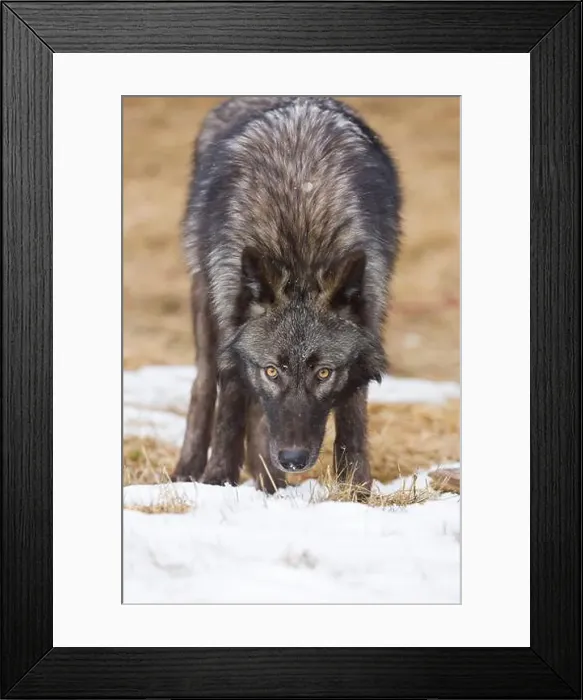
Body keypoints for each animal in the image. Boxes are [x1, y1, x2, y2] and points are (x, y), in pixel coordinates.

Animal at [173, 97, 401, 493]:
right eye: (271, 371)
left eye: (324, 373)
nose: (293, 459)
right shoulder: (230, 320)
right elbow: (230, 409)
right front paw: (218, 481)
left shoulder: (370, 316)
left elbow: (353, 419)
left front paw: (356, 489)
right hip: (204, 305)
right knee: (204, 386)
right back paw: (190, 470)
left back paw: (270, 482)